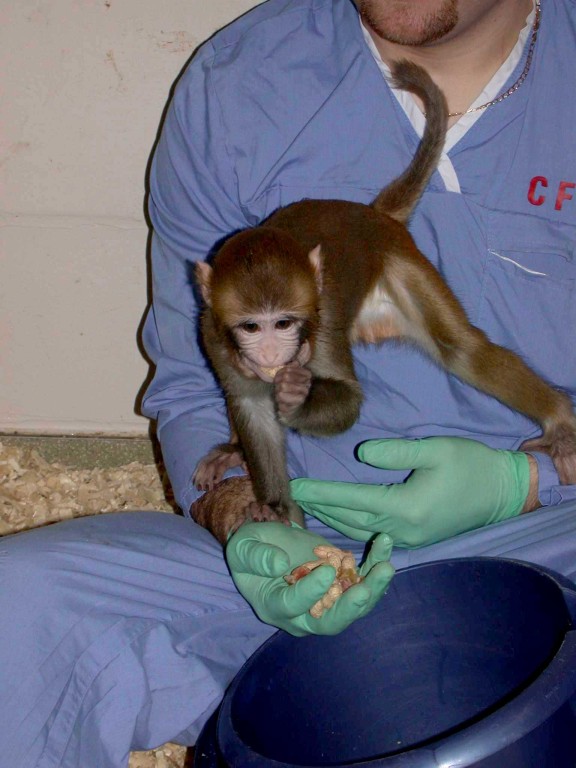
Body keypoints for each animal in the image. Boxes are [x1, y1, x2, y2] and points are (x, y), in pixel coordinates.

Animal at [192, 60, 576, 532]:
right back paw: (233, 451)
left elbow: (348, 399)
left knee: (462, 350)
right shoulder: (213, 335)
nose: (268, 353)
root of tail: (371, 214)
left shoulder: (320, 324)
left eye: (283, 323)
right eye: (251, 326)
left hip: (399, 260)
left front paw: (297, 396)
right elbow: (251, 407)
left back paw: (557, 417)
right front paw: (275, 508)